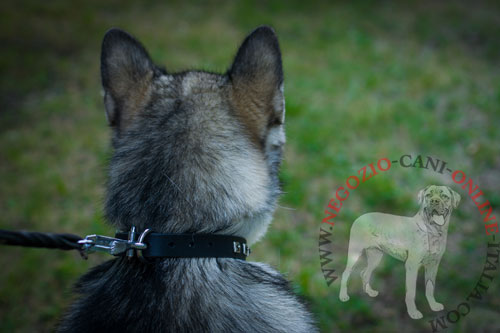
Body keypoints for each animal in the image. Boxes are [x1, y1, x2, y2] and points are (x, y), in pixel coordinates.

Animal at [340, 185, 460, 318]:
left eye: (444, 196)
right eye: (428, 195)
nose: (434, 201)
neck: (432, 231)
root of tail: (360, 217)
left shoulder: (433, 265)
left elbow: (430, 287)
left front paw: (433, 305)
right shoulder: (412, 265)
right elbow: (411, 292)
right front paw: (413, 313)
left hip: (375, 256)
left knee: (364, 273)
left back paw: (370, 292)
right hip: (355, 252)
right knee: (345, 273)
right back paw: (343, 296)